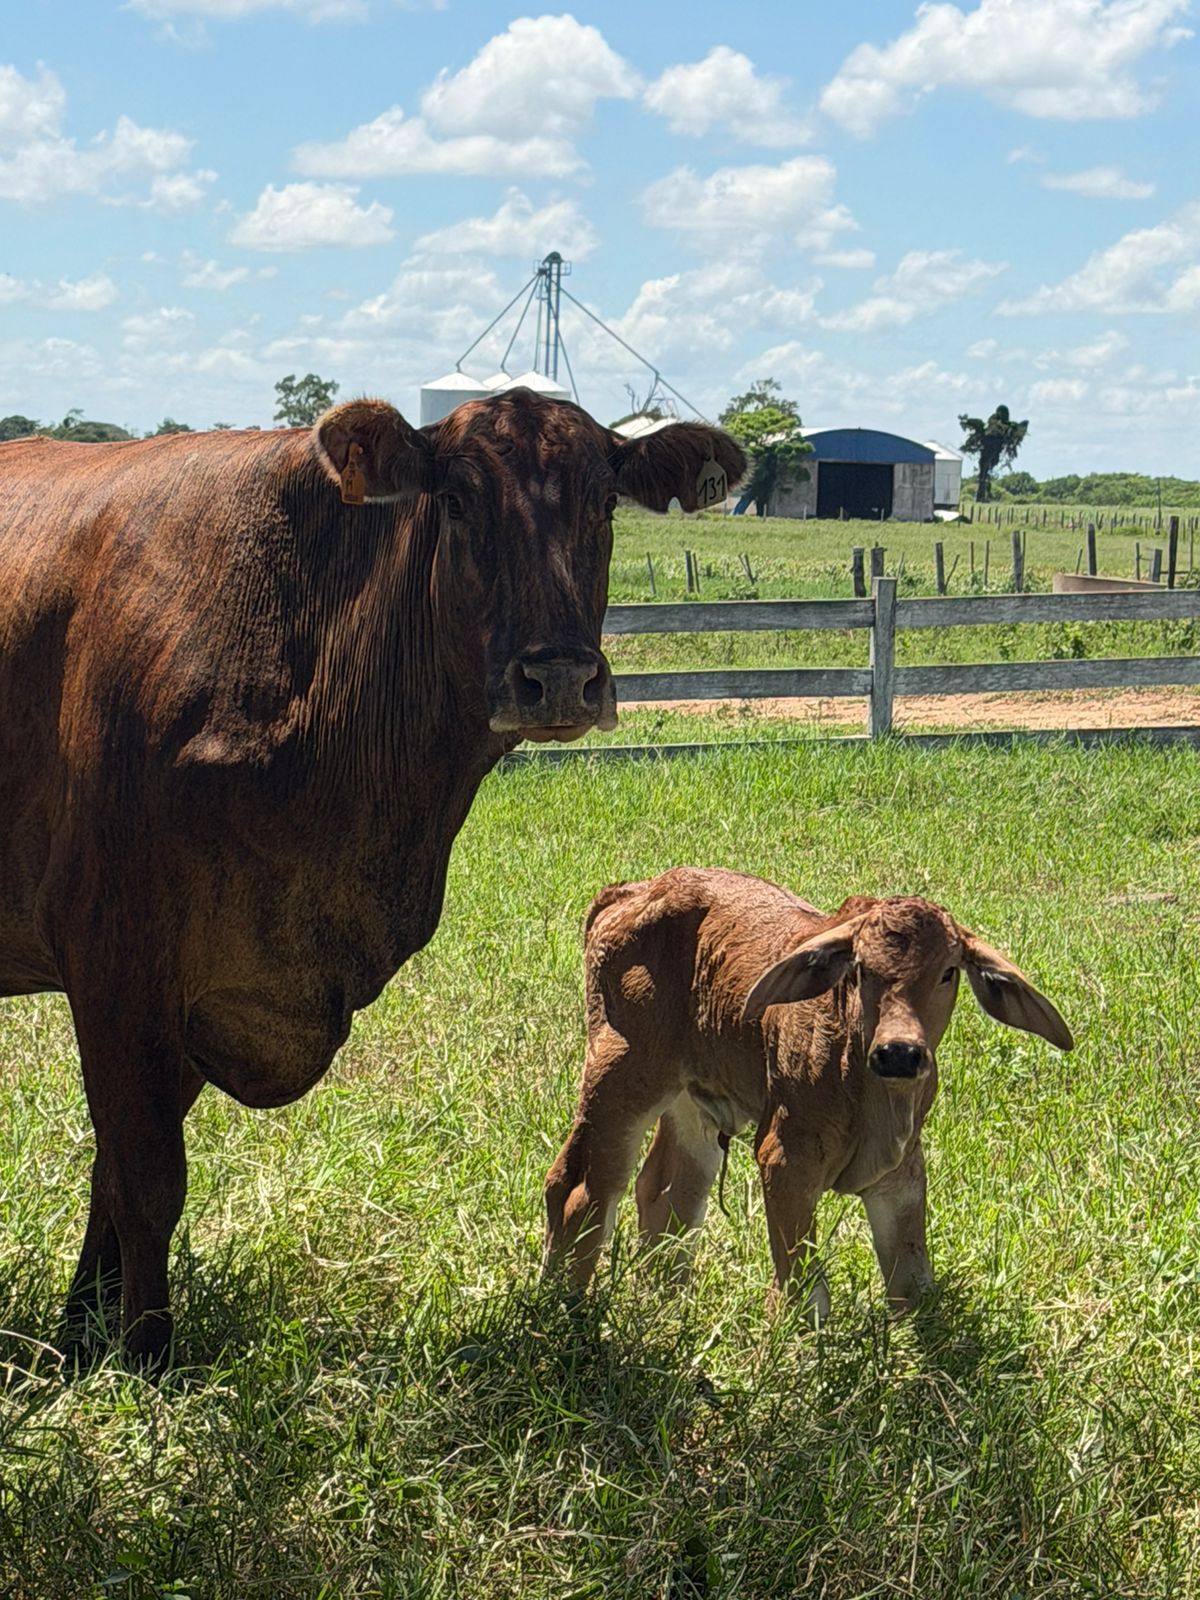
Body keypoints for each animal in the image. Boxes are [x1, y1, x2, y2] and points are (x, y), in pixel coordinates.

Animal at [0, 391, 745, 1363]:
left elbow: (111, 1176)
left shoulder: (202, 986)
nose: (559, 678)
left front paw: (82, 1334)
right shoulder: (116, 959)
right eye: (458, 500)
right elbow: (147, 1182)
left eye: (604, 503)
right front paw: (146, 1356)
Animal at [544, 868, 1073, 1319]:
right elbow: (804, 1297)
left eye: (948, 972)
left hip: (692, 1099)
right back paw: (565, 1308)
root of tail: (632, 891)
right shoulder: (785, 1162)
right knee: (578, 1188)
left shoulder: (902, 1177)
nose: (899, 1054)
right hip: (621, 1073)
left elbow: (914, 1288)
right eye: (860, 969)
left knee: (668, 1193)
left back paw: (664, 1304)